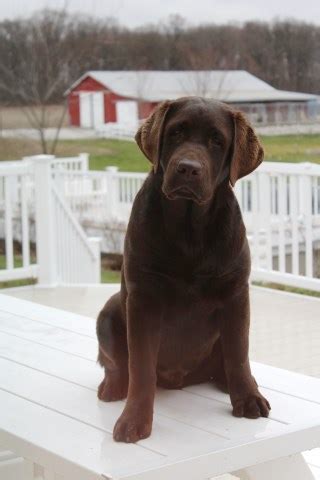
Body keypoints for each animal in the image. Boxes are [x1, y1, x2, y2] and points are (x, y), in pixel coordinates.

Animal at [97, 96, 270, 442]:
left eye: (217, 141)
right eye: (175, 132)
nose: (188, 168)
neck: (189, 230)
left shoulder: (236, 294)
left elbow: (239, 353)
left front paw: (248, 398)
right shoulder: (143, 299)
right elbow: (140, 367)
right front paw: (134, 420)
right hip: (108, 311)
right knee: (116, 363)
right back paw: (112, 386)